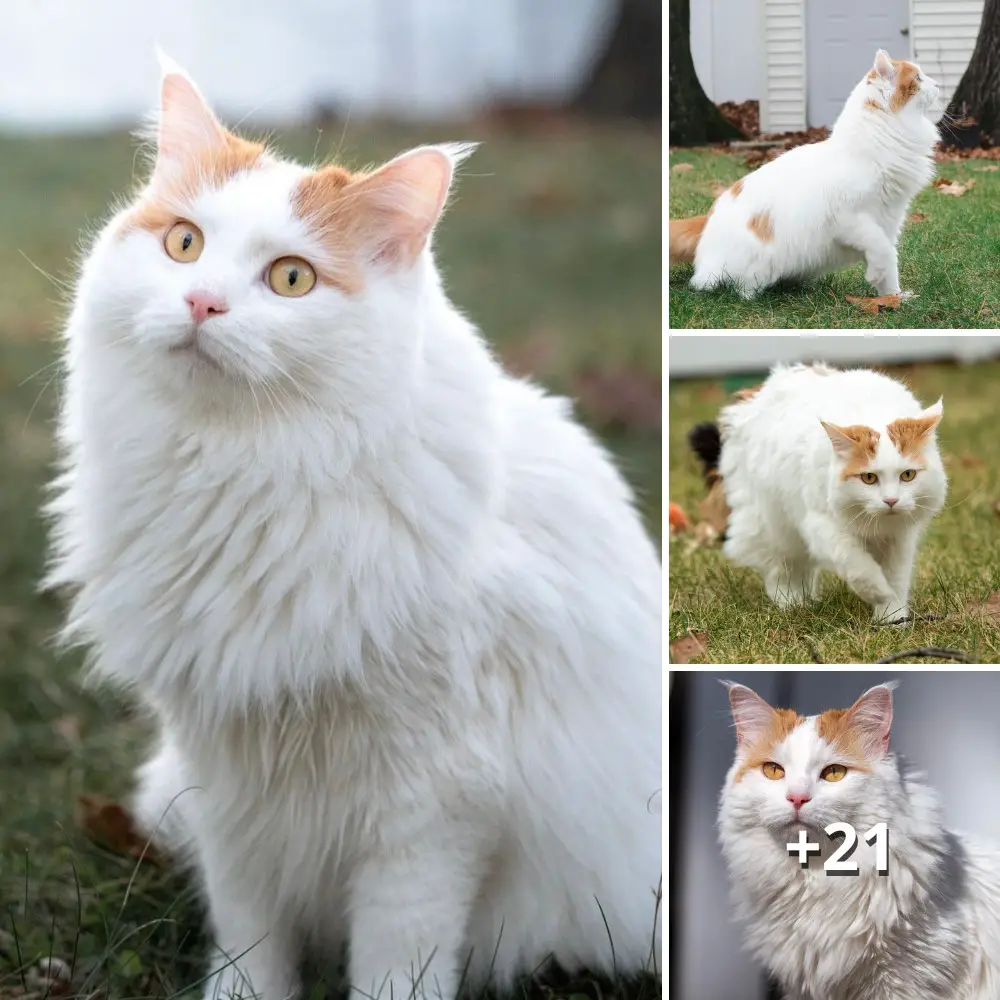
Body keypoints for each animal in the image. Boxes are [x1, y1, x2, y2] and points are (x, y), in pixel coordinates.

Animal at [45, 52, 664, 1000]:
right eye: (183, 243)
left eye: (291, 279)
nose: (201, 303)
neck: (240, 478)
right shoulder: (230, 782)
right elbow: (250, 933)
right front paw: (241, 996)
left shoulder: (432, 805)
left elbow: (397, 955)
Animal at [668, 48, 940, 296]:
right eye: (918, 78)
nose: (937, 84)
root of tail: (707, 219)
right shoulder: (851, 218)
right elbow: (882, 250)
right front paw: (878, 279)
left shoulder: (889, 219)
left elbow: (890, 260)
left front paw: (892, 299)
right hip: (756, 266)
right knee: (737, 289)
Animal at [716, 360, 940, 624]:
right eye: (869, 478)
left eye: (907, 475)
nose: (891, 500)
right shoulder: (822, 527)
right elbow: (860, 567)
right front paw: (880, 594)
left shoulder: (899, 538)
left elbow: (896, 578)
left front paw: (892, 618)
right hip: (776, 527)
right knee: (782, 569)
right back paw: (791, 603)